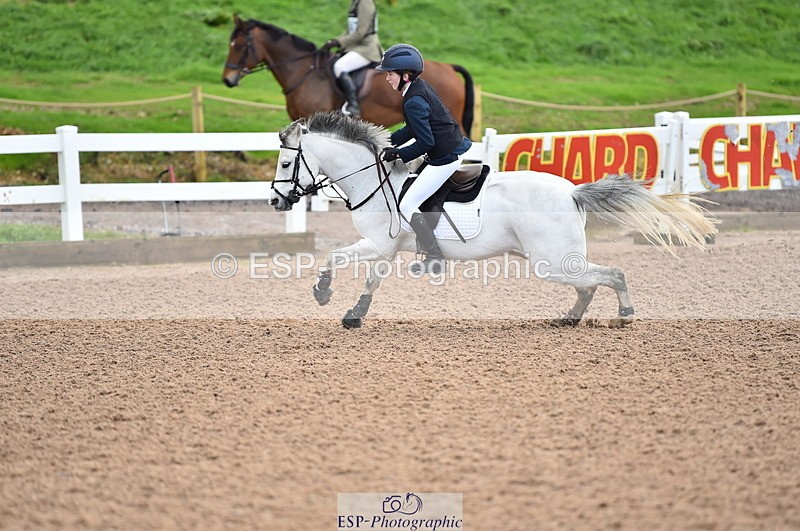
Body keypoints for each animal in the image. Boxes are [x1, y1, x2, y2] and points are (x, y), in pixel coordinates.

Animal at [269, 112, 718, 329]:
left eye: (287, 163)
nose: (275, 200)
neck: (374, 181)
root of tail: (571, 191)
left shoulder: (379, 243)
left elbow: (335, 258)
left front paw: (323, 293)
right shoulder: (388, 248)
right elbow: (371, 281)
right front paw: (354, 314)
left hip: (551, 261)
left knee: (611, 275)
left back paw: (624, 315)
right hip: (556, 261)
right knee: (589, 284)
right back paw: (570, 318)